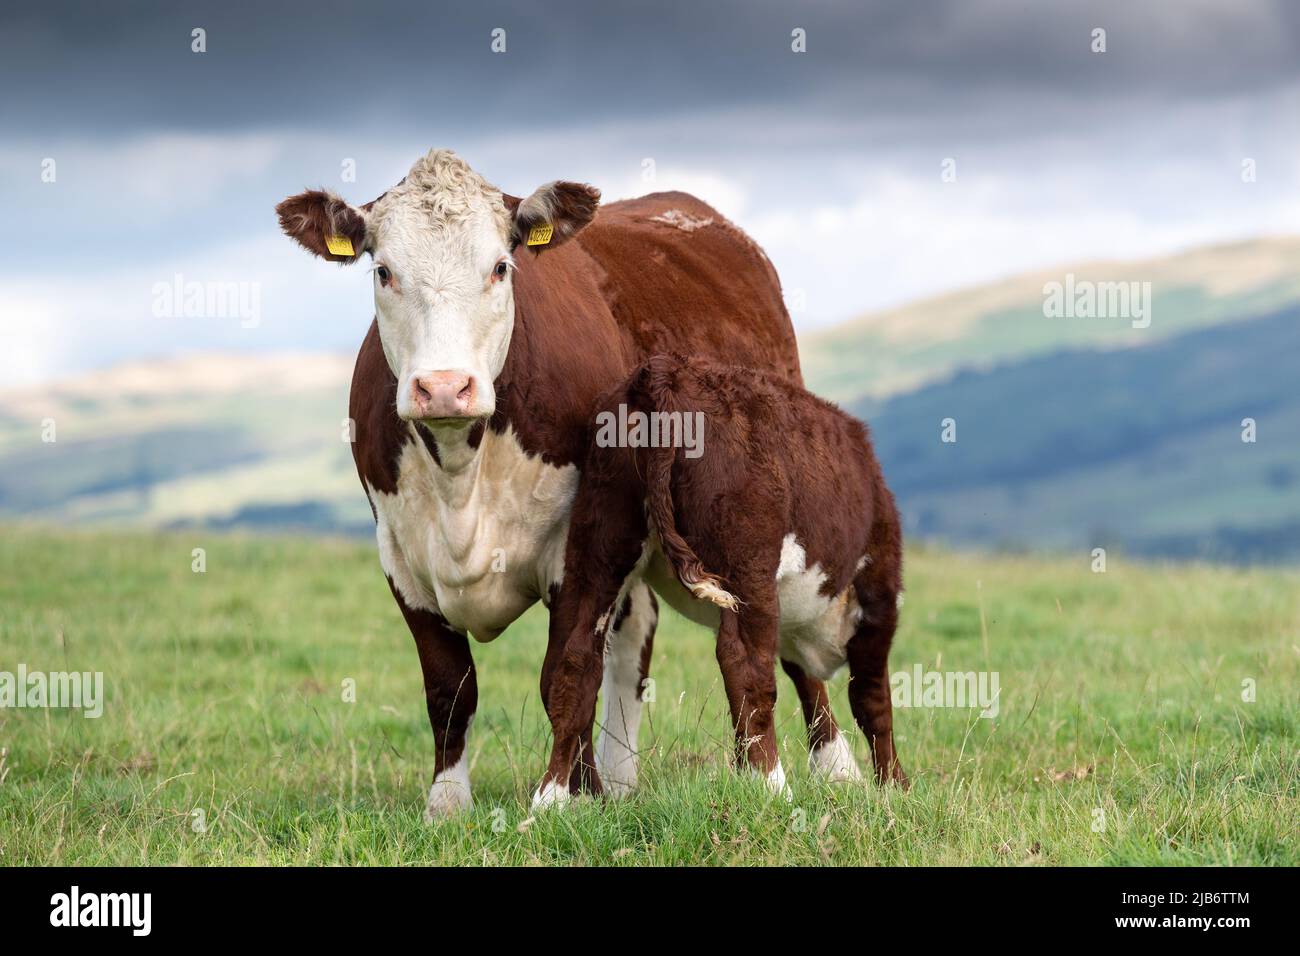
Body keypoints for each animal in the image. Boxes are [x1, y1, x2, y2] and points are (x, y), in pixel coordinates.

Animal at [275, 149, 859, 817]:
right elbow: (450, 687)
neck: (460, 481)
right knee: (635, 636)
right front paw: (450, 805)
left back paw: (836, 765)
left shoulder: (581, 543)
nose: (445, 387)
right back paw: (622, 778)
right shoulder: (400, 555)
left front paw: (566, 796)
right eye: (383, 271)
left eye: (500, 267)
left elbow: (567, 670)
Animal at [536, 354, 906, 805]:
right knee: (745, 666)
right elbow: (873, 699)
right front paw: (895, 788)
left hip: (598, 543)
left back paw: (554, 798)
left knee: (574, 659)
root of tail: (664, 375)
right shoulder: (879, 591)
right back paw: (772, 786)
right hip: (746, 562)